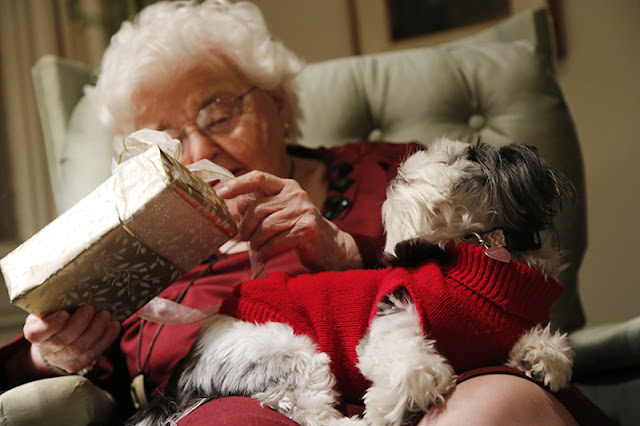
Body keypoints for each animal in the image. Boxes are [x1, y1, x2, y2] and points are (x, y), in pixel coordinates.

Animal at [130, 138, 576, 424]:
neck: (488, 261)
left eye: (450, 161)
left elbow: (548, 350)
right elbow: (413, 368)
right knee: (312, 414)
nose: (397, 172)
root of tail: (185, 367)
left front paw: (537, 357)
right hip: (290, 352)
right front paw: (398, 403)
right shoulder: (395, 307)